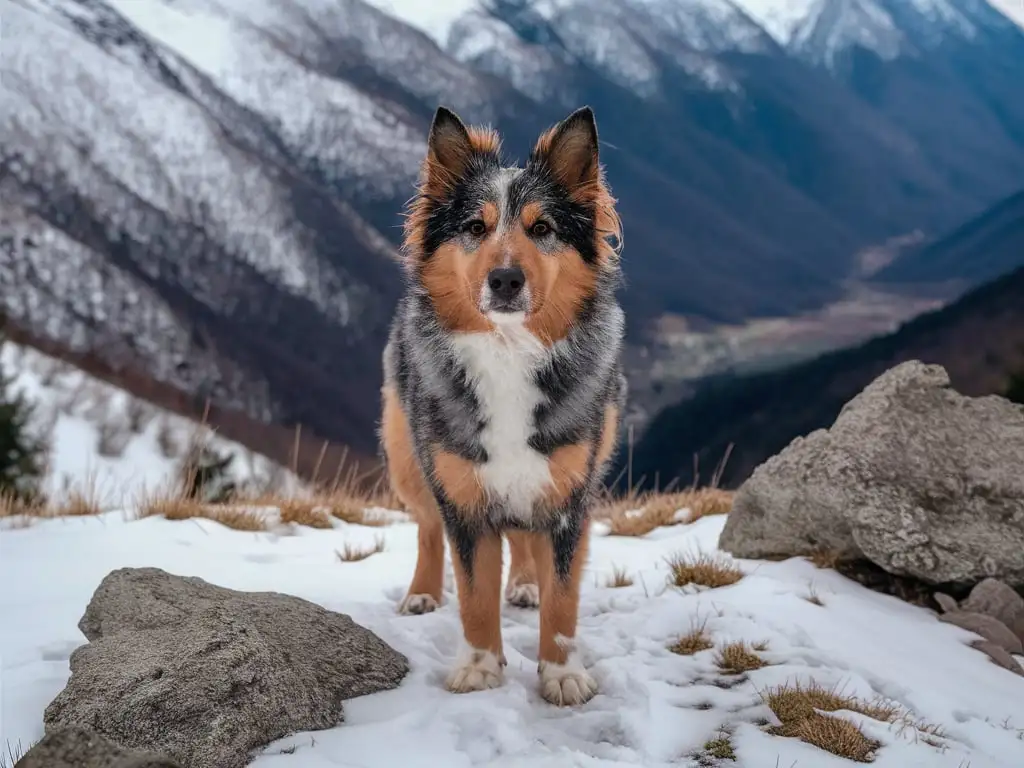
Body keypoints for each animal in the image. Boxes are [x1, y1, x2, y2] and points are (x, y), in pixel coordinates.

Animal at [380, 105, 626, 708]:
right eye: (475, 227)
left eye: (542, 229)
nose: (506, 279)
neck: (510, 352)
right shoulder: (465, 499)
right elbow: (473, 595)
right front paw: (479, 669)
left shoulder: (567, 497)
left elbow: (563, 597)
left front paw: (562, 674)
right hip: (406, 458)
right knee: (427, 528)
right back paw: (422, 593)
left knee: (523, 538)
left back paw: (525, 584)